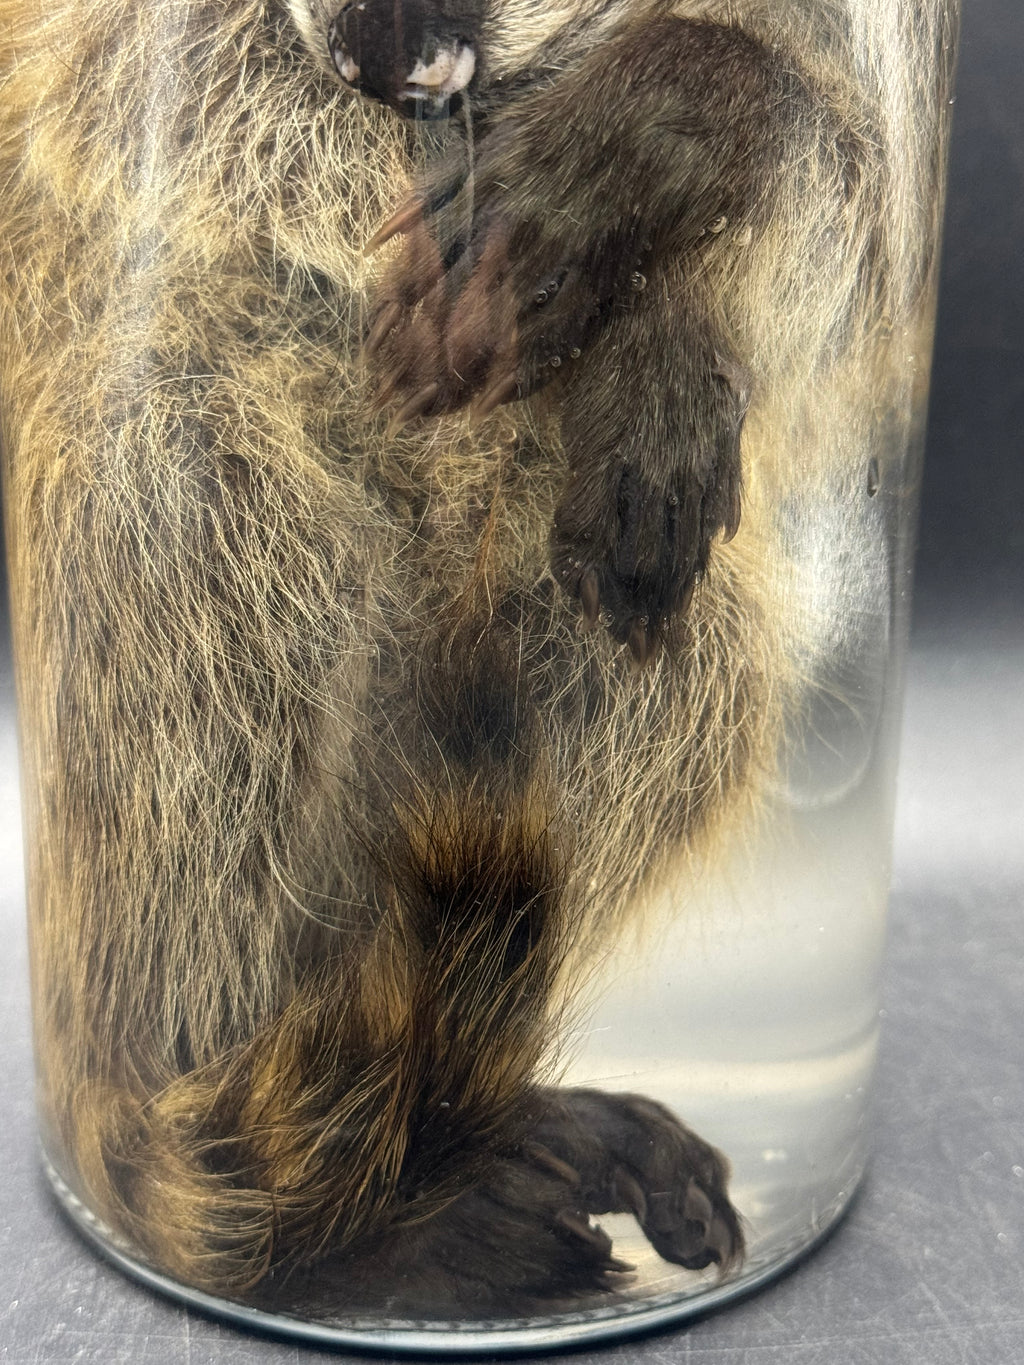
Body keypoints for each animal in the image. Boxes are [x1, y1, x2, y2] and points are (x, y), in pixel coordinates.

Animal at [0, 0, 954, 1319]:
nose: (370, 65)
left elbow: (848, 197)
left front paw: (674, 259)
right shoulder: (134, 83)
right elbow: (191, 124)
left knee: (676, 675)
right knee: (184, 481)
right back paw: (274, 1158)